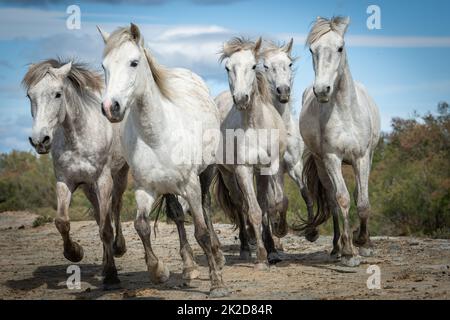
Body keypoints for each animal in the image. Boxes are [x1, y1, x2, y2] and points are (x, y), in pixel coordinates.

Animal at [23, 58, 128, 288]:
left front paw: (112, 275)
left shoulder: (103, 181)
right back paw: (104, 264)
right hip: (89, 188)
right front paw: (75, 252)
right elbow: (62, 222)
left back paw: (118, 249)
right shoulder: (65, 181)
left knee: (116, 208)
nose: (39, 140)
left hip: (120, 176)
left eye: (58, 94)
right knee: (99, 216)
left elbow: (106, 228)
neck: (77, 137)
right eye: (29, 96)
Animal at [96, 23, 227, 298]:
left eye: (134, 62)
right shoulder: (144, 189)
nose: (111, 107)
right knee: (176, 215)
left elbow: (201, 232)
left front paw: (217, 285)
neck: (157, 135)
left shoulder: (190, 184)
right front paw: (158, 271)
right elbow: (141, 226)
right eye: (104, 66)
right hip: (167, 186)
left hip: (206, 171)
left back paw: (217, 256)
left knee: (206, 208)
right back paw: (188, 268)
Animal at [214, 37, 284, 268]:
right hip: (228, 173)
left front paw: (273, 246)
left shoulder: (268, 167)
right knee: (239, 204)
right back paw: (246, 247)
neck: (254, 125)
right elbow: (253, 210)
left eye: (254, 66)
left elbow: (272, 203)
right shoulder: (243, 169)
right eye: (228, 68)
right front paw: (261, 257)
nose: (241, 99)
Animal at [298, 16, 380, 268]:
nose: (322, 90)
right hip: (322, 165)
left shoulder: (361, 158)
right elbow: (342, 200)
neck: (345, 112)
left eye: (340, 47)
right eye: (312, 50)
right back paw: (337, 247)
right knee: (333, 201)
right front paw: (349, 253)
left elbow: (362, 201)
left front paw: (364, 243)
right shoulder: (332, 159)